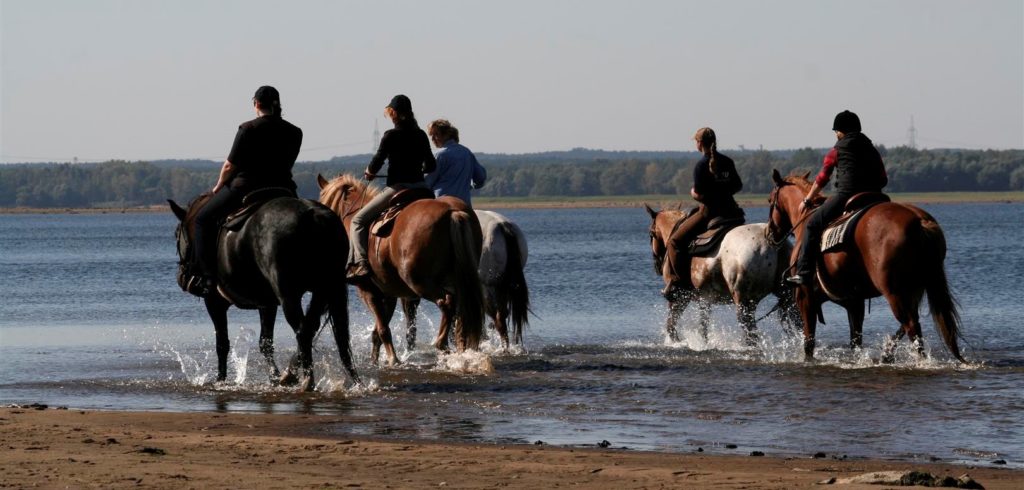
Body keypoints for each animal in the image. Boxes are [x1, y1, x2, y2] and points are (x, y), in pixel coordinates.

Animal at [167, 194, 356, 390]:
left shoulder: (214, 302)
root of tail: (313, 215)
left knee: (302, 330)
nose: (182, 277)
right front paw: (274, 377)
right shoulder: (267, 304)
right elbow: (265, 342)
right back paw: (291, 374)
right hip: (324, 289)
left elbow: (222, 344)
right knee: (313, 329)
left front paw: (221, 379)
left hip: (289, 294)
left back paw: (307, 380)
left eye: (176, 234)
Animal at [317, 174, 485, 366]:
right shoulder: (389, 293)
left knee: (447, 302)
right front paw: (375, 360)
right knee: (461, 310)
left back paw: (441, 343)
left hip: (419, 282)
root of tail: (453, 211)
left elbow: (382, 328)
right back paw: (461, 346)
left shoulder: (367, 291)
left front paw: (392, 358)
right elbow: (378, 331)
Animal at [643, 205, 794, 347]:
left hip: (743, 301)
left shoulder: (679, 297)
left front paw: (678, 342)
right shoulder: (705, 300)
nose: (657, 266)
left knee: (750, 331)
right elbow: (702, 326)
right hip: (781, 298)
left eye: (651, 234)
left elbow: (671, 325)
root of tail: (772, 241)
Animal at [770, 170, 966, 362]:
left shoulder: (805, 298)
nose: (771, 233)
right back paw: (887, 353)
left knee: (911, 324)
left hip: (894, 292)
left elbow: (809, 344)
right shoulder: (854, 302)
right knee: (909, 323)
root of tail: (919, 221)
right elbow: (855, 341)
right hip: (914, 288)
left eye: (770, 200)